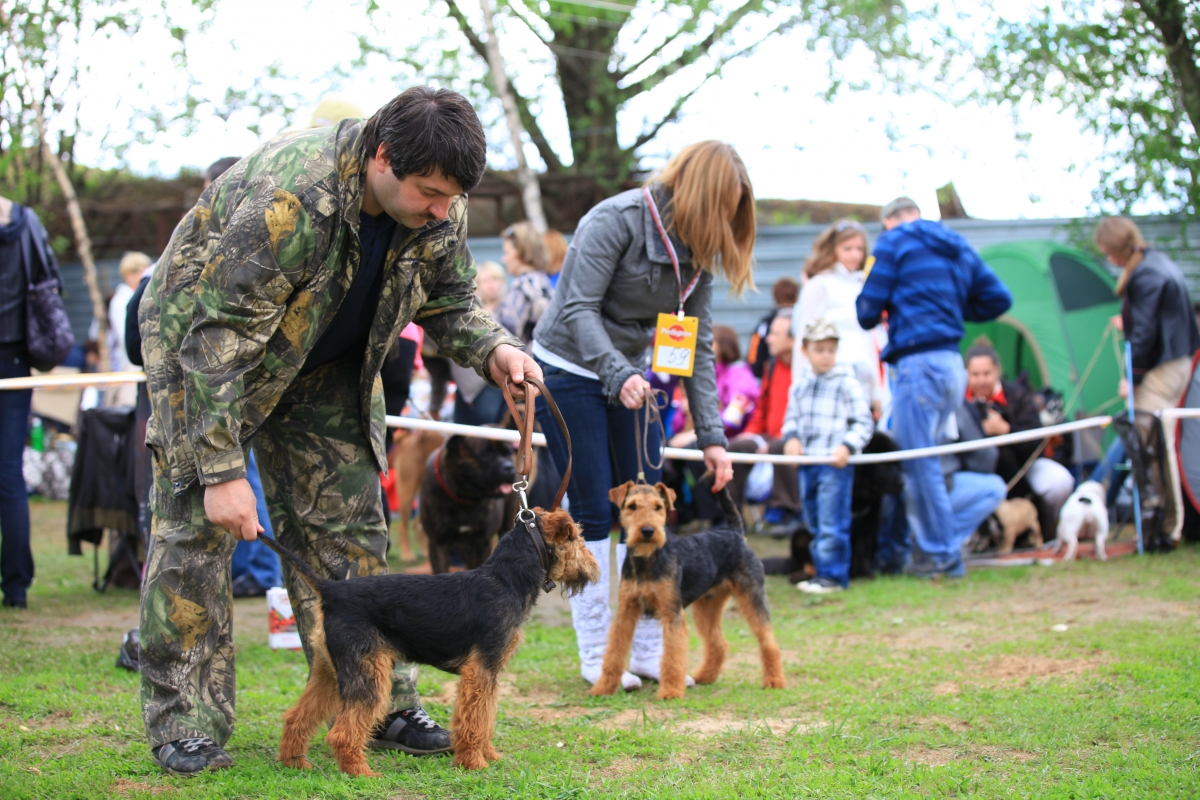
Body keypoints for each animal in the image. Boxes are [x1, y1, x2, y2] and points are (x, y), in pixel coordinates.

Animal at [592, 482, 787, 700]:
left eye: (658, 507)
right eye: (632, 506)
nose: (648, 531)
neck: (646, 560)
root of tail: (735, 532)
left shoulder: (672, 613)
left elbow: (673, 656)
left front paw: (670, 691)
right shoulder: (626, 612)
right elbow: (614, 653)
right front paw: (604, 687)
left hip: (752, 597)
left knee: (768, 641)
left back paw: (774, 681)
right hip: (707, 606)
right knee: (718, 644)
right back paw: (705, 676)